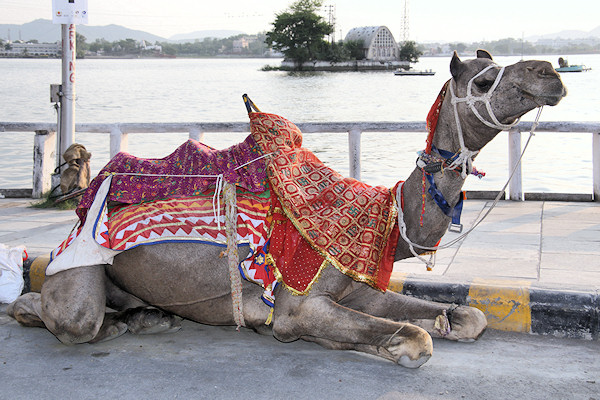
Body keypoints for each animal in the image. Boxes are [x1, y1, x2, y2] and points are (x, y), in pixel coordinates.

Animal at [7, 50, 564, 368]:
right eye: (484, 80)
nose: (550, 72)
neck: (384, 219)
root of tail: (78, 211)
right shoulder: (300, 302)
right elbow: (413, 340)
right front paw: (382, 346)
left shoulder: (360, 290)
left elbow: (470, 316)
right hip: (77, 269)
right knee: (61, 315)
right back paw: (118, 320)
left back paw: (147, 316)